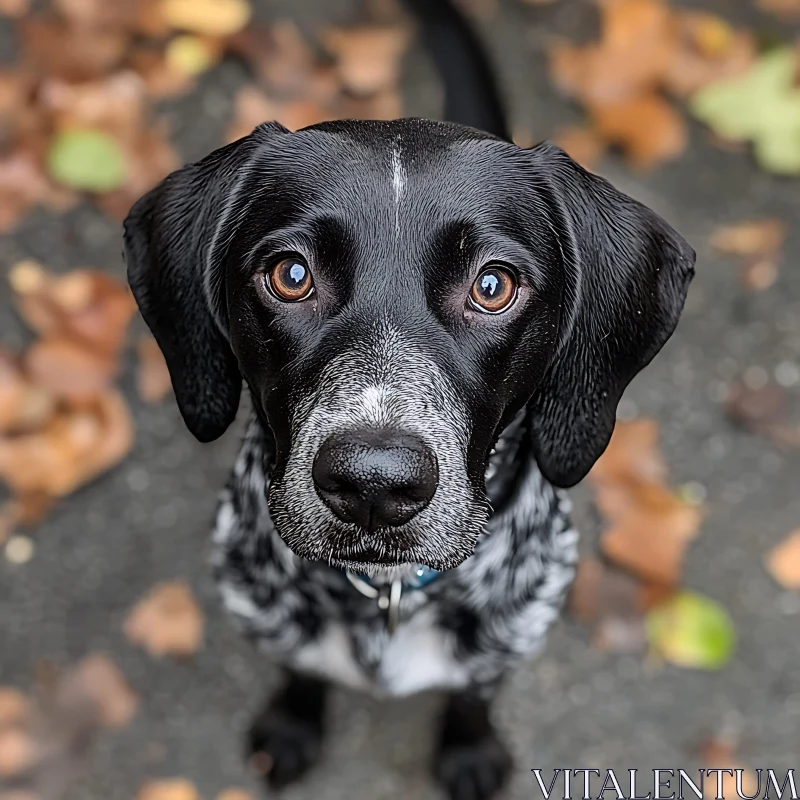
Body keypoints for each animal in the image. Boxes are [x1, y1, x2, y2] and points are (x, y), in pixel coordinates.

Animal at [123, 3, 692, 796]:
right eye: (290, 274)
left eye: (493, 285)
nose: (373, 484)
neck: (384, 593)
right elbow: (301, 670)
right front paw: (293, 722)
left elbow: (473, 693)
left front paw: (470, 748)